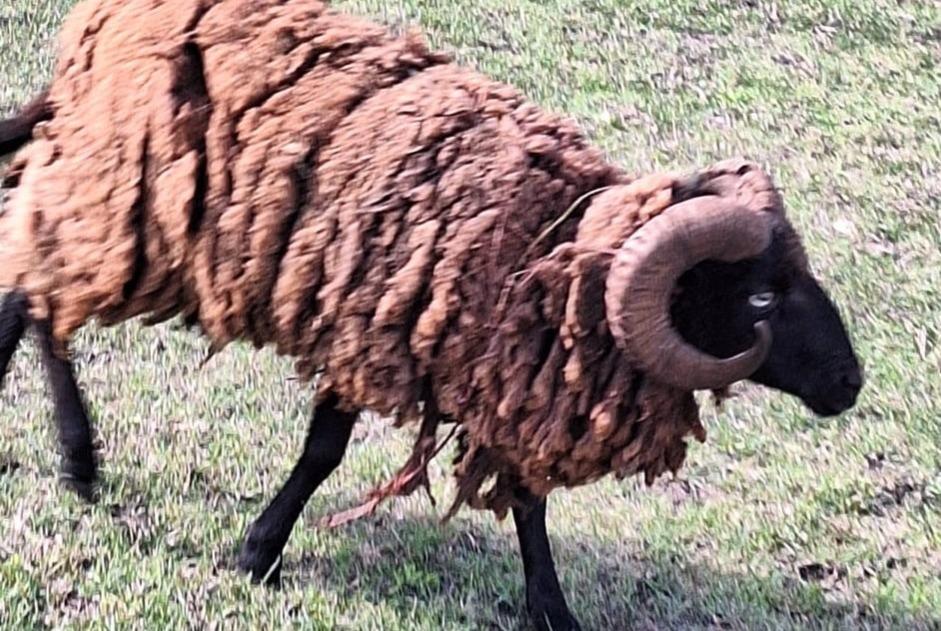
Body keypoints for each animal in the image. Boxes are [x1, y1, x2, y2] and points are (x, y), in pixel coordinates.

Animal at [0, 2, 864, 628]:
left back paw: (77, 462)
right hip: (121, 211)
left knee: (34, 294)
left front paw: (549, 607)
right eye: (760, 297)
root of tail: (96, 30)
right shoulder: (361, 331)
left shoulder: (502, 377)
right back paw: (80, 458)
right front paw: (257, 553)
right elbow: (322, 453)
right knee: (28, 289)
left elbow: (526, 500)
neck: (545, 251)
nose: (850, 382)